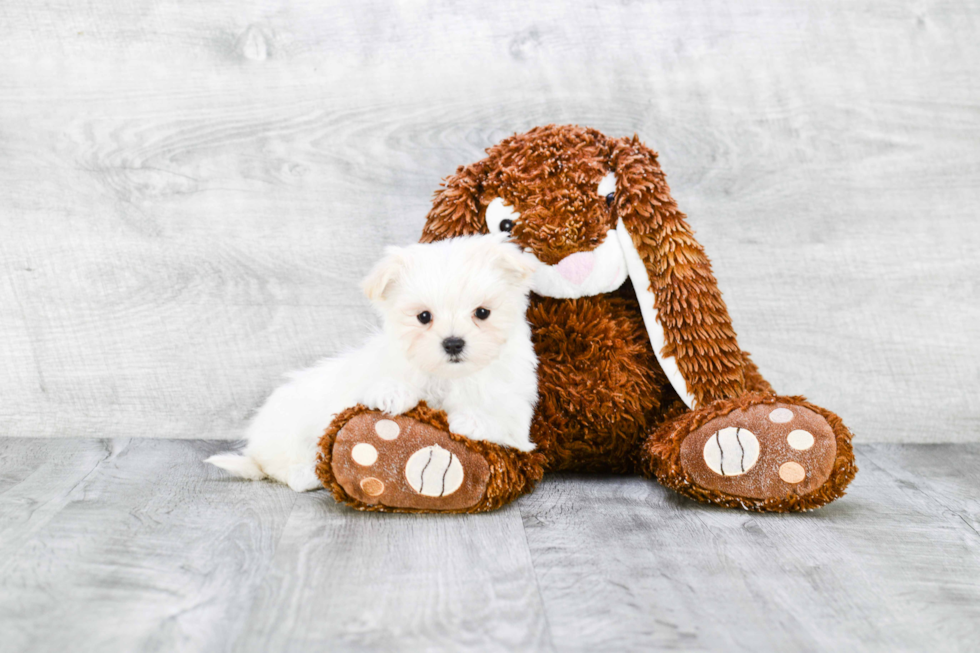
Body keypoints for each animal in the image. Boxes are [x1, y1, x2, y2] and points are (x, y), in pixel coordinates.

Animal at [205, 233, 536, 488]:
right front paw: (392, 393)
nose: (453, 343)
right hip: (287, 428)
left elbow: (504, 418)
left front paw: (471, 419)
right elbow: (371, 387)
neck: (447, 376)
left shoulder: (518, 409)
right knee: (283, 468)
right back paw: (308, 473)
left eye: (482, 313)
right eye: (424, 317)